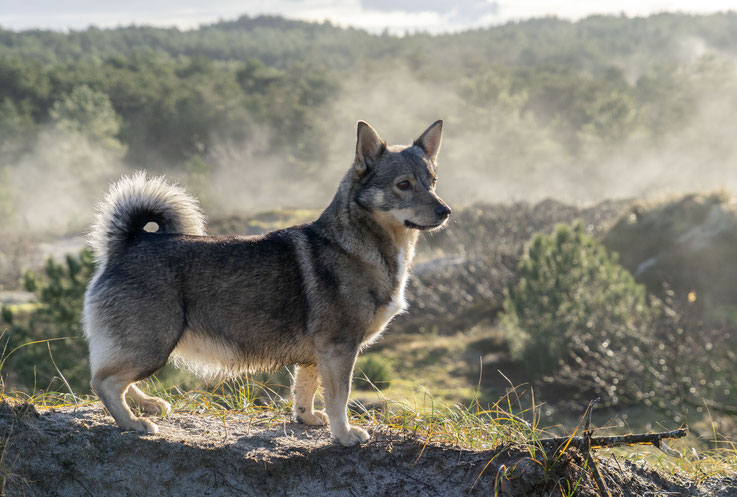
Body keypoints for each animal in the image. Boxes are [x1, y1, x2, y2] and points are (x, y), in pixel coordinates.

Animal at [80, 120, 448, 446]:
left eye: (432, 181)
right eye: (404, 184)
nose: (446, 211)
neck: (356, 244)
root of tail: (130, 242)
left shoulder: (316, 355)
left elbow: (305, 390)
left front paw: (307, 419)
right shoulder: (339, 348)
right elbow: (338, 398)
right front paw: (344, 434)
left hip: (144, 347)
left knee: (113, 376)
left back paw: (146, 405)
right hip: (152, 345)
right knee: (104, 382)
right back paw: (132, 421)